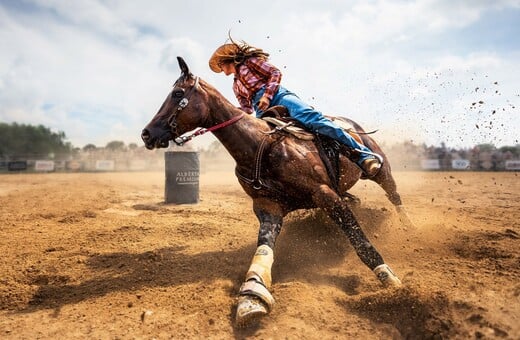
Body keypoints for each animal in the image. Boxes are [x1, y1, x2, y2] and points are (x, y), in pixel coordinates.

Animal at [141, 56, 410, 326]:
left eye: (177, 93)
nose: (146, 134)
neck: (260, 145)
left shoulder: (326, 195)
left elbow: (360, 242)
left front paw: (390, 281)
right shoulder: (267, 207)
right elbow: (264, 249)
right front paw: (252, 295)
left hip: (381, 170)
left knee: (393, 195)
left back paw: (408, 226)